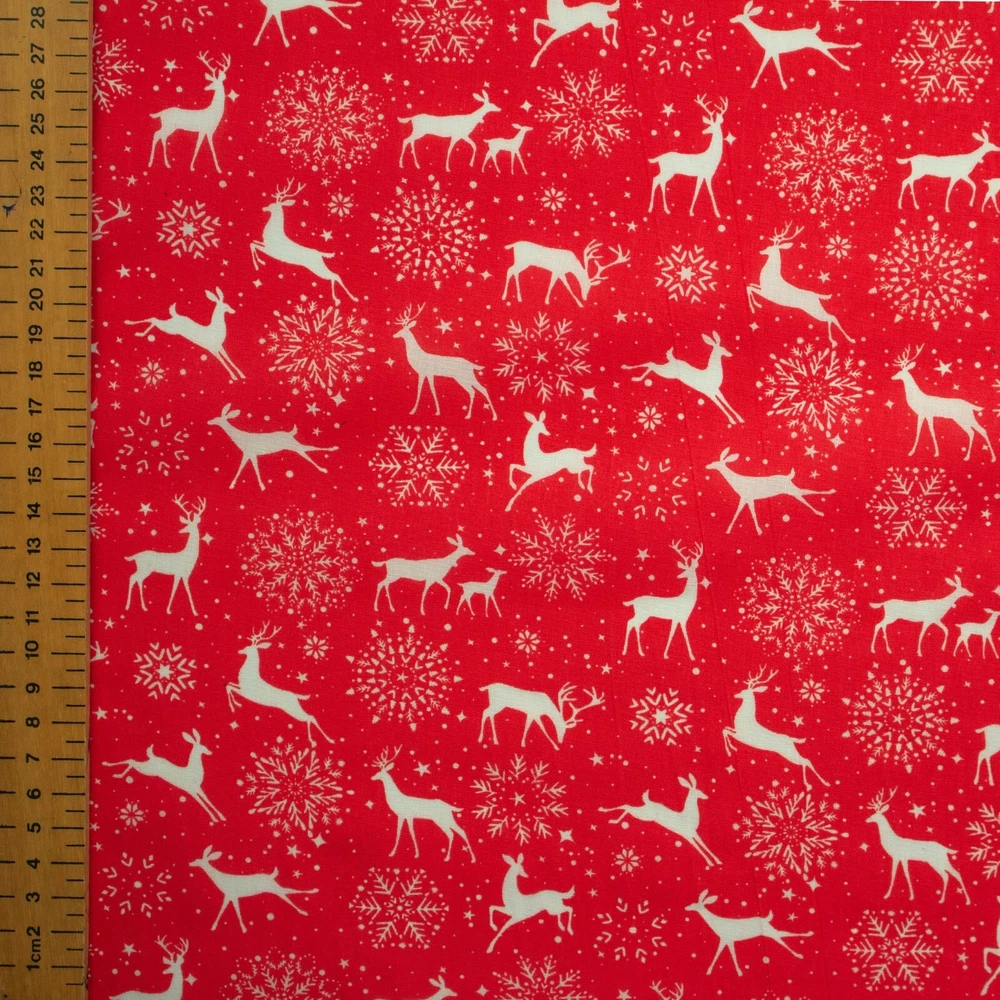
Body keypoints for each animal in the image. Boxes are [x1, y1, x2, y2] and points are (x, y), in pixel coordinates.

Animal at [189, 846, 318, 932]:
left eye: (198, 860)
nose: (190, 863)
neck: (222, 880)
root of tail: (271, 876)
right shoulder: (229, 896)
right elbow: (224, 910)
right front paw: (214, 926)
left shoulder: (232, 895)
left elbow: (235, 911)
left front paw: (243, 928)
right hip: (274, 888)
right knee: (289, 892)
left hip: (274, 888)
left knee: (289, 892)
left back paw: (306, 905)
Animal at [208, 403, 338, 490]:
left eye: (217, 418)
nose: (209, 421)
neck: (241, 438)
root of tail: (290, 433)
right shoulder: (247, 454)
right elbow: (241, 468)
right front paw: (232, 484)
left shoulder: (252, 454)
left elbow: (255, 468)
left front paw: (262, 486)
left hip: (294, 446)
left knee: (309, 449)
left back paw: (328, 460)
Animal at [706, 448, 835, 535]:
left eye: (714, 463)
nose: (707, 466)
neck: (738, 482)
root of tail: (788, 477)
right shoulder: (745, 498)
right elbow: (739, 512)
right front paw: (729, 530)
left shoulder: (748, 497)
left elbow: (750, 513)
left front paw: (758, 531)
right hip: (791, 490)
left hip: (791, 490)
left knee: (806, 493)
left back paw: (823, 505)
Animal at [730, 2, 860, 89]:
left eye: (739, 16)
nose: (731, 20)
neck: (763, 35)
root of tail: (813, 30)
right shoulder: (772, 52)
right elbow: (769, 67)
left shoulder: (771, 51)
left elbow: (768, 67)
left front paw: (782, 85)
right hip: (816, 43)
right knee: (830, 45)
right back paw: (855, 47)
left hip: (816, 43)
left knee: (830, 48)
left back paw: (846, 65)